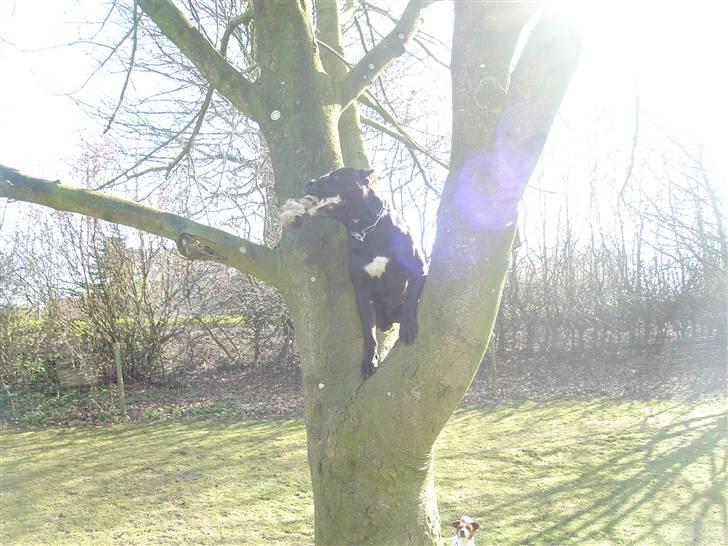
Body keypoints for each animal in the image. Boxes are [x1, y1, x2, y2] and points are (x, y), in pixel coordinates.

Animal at [280, 167, 426, 378]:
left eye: (336, 176)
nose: (309, 183)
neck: (366, 229)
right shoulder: (363, 291)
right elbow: (368, 331)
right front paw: (369, 361)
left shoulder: (418, 267)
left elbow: (411, 299)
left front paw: (407, 326)